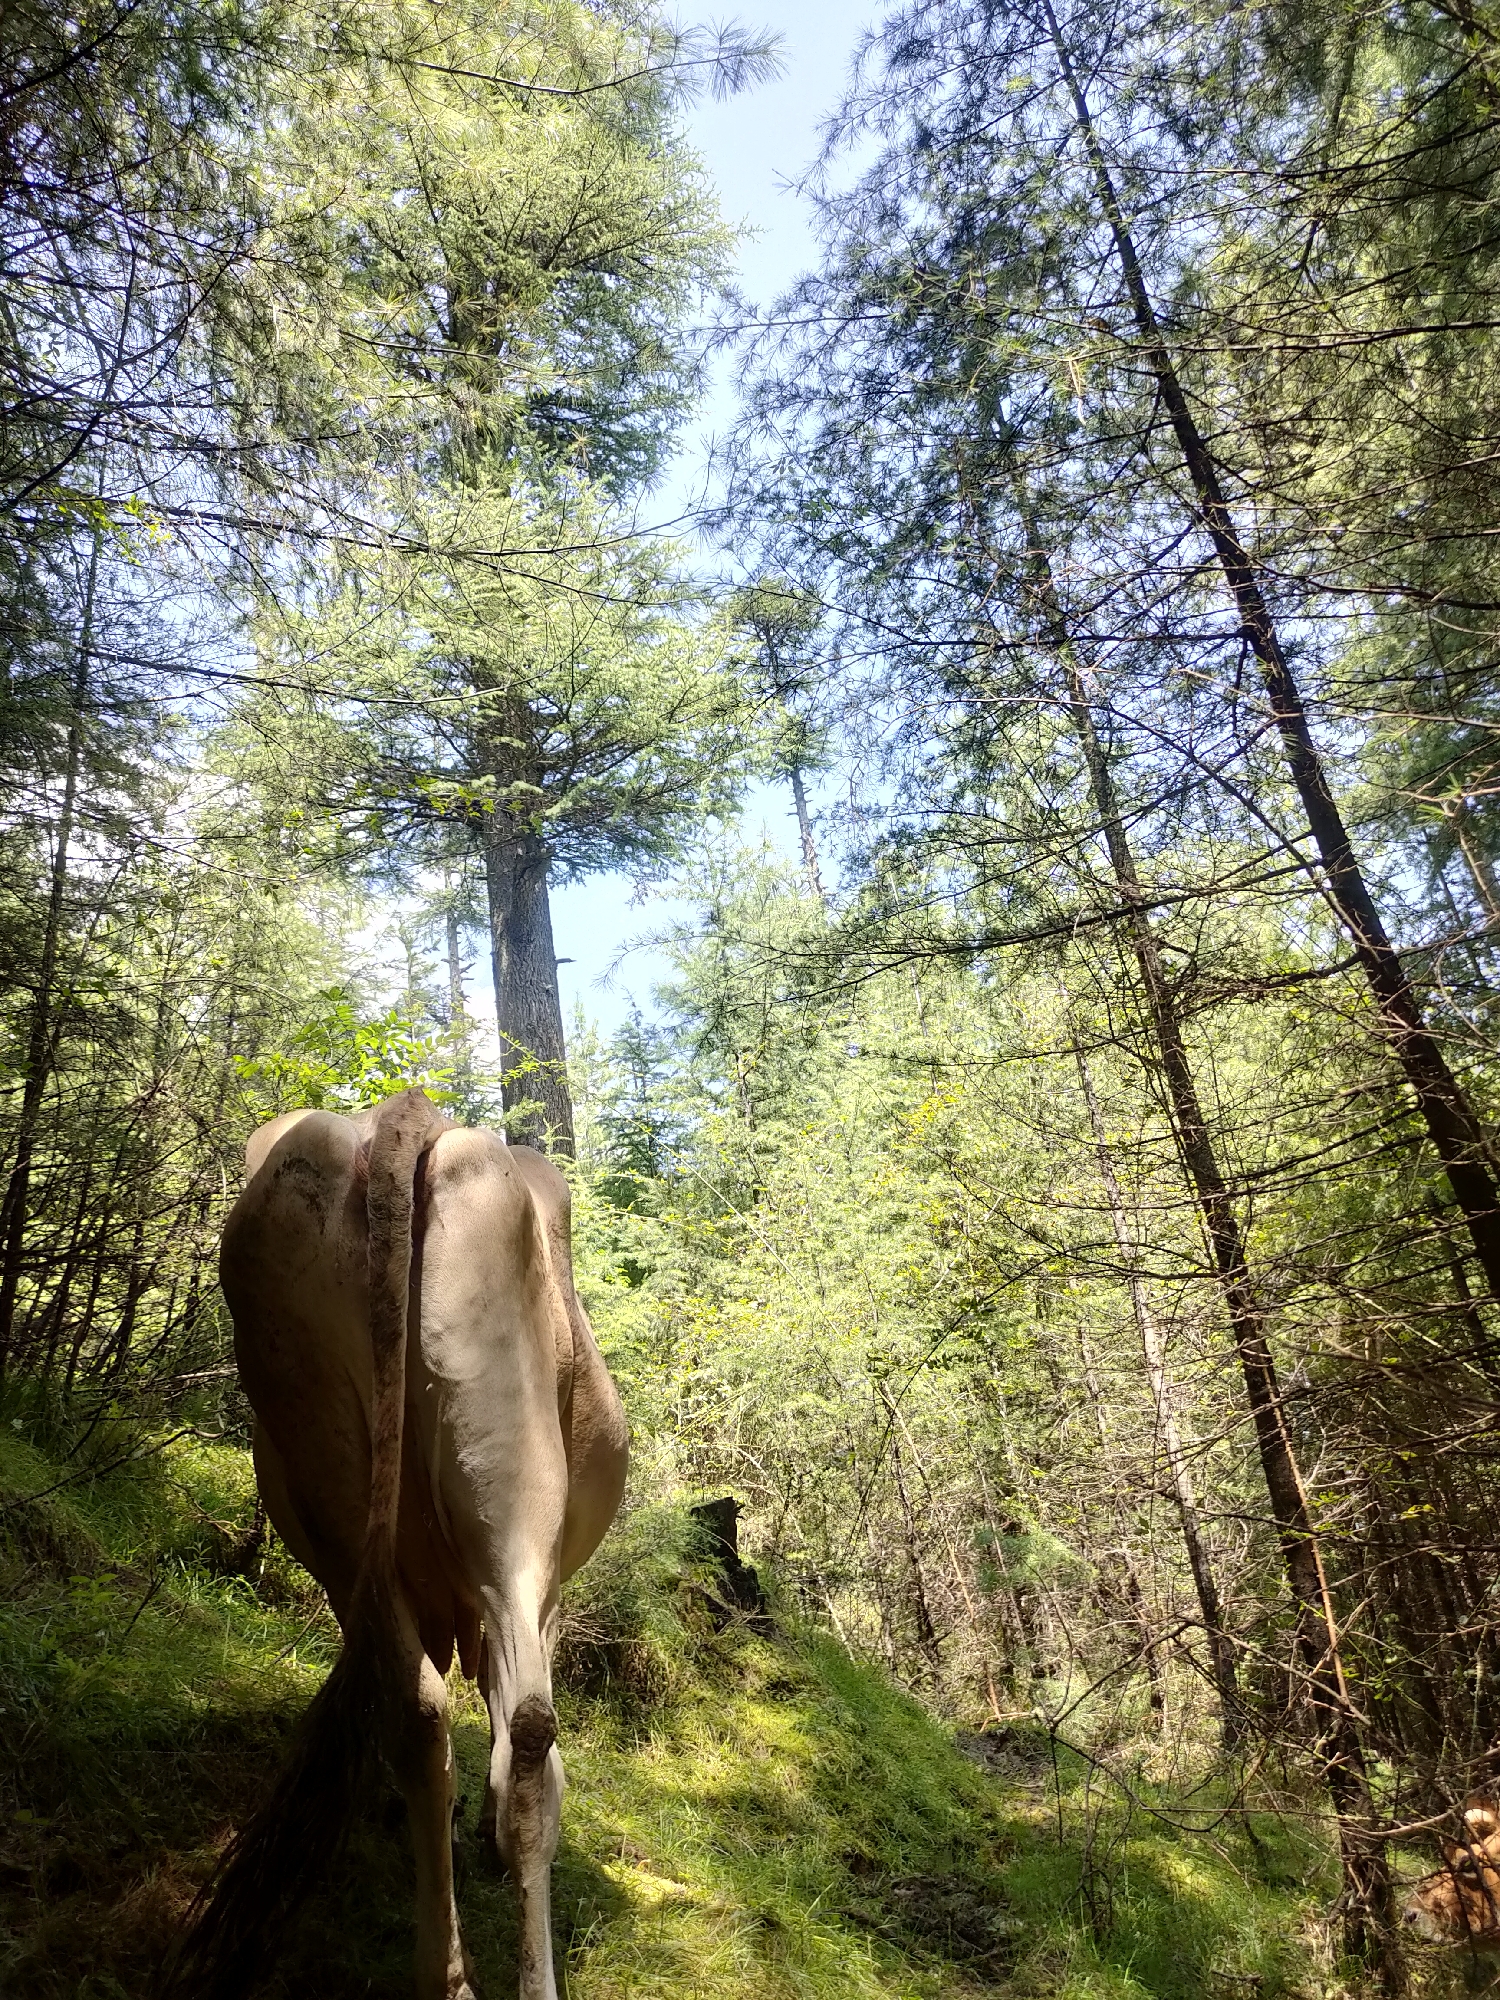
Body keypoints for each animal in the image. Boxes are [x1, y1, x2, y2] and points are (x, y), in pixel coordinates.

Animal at [167, 1089, 628, 2000]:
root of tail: (404, 1118)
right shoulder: (547, 1594)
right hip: (514, 1495)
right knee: (529, 1732)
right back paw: (525, 1973)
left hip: (328, 1473)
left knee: (415, 1710)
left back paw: (441, 1970)